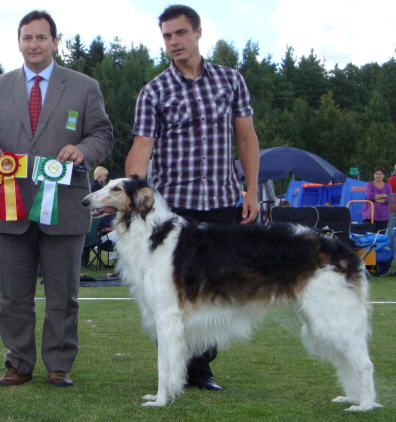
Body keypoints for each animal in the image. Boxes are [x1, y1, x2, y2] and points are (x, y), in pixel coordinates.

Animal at [81, 176, 380, 410]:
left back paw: (364, 406)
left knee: (365, 364)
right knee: (348, 362)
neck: (154, 233)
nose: (85, 200)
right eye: (105, 183)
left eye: (116, 188)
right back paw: (353, 398)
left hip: (330, 317)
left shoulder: (167, 317)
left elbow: (163, 365)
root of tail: (346, 250)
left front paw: (160, 400)